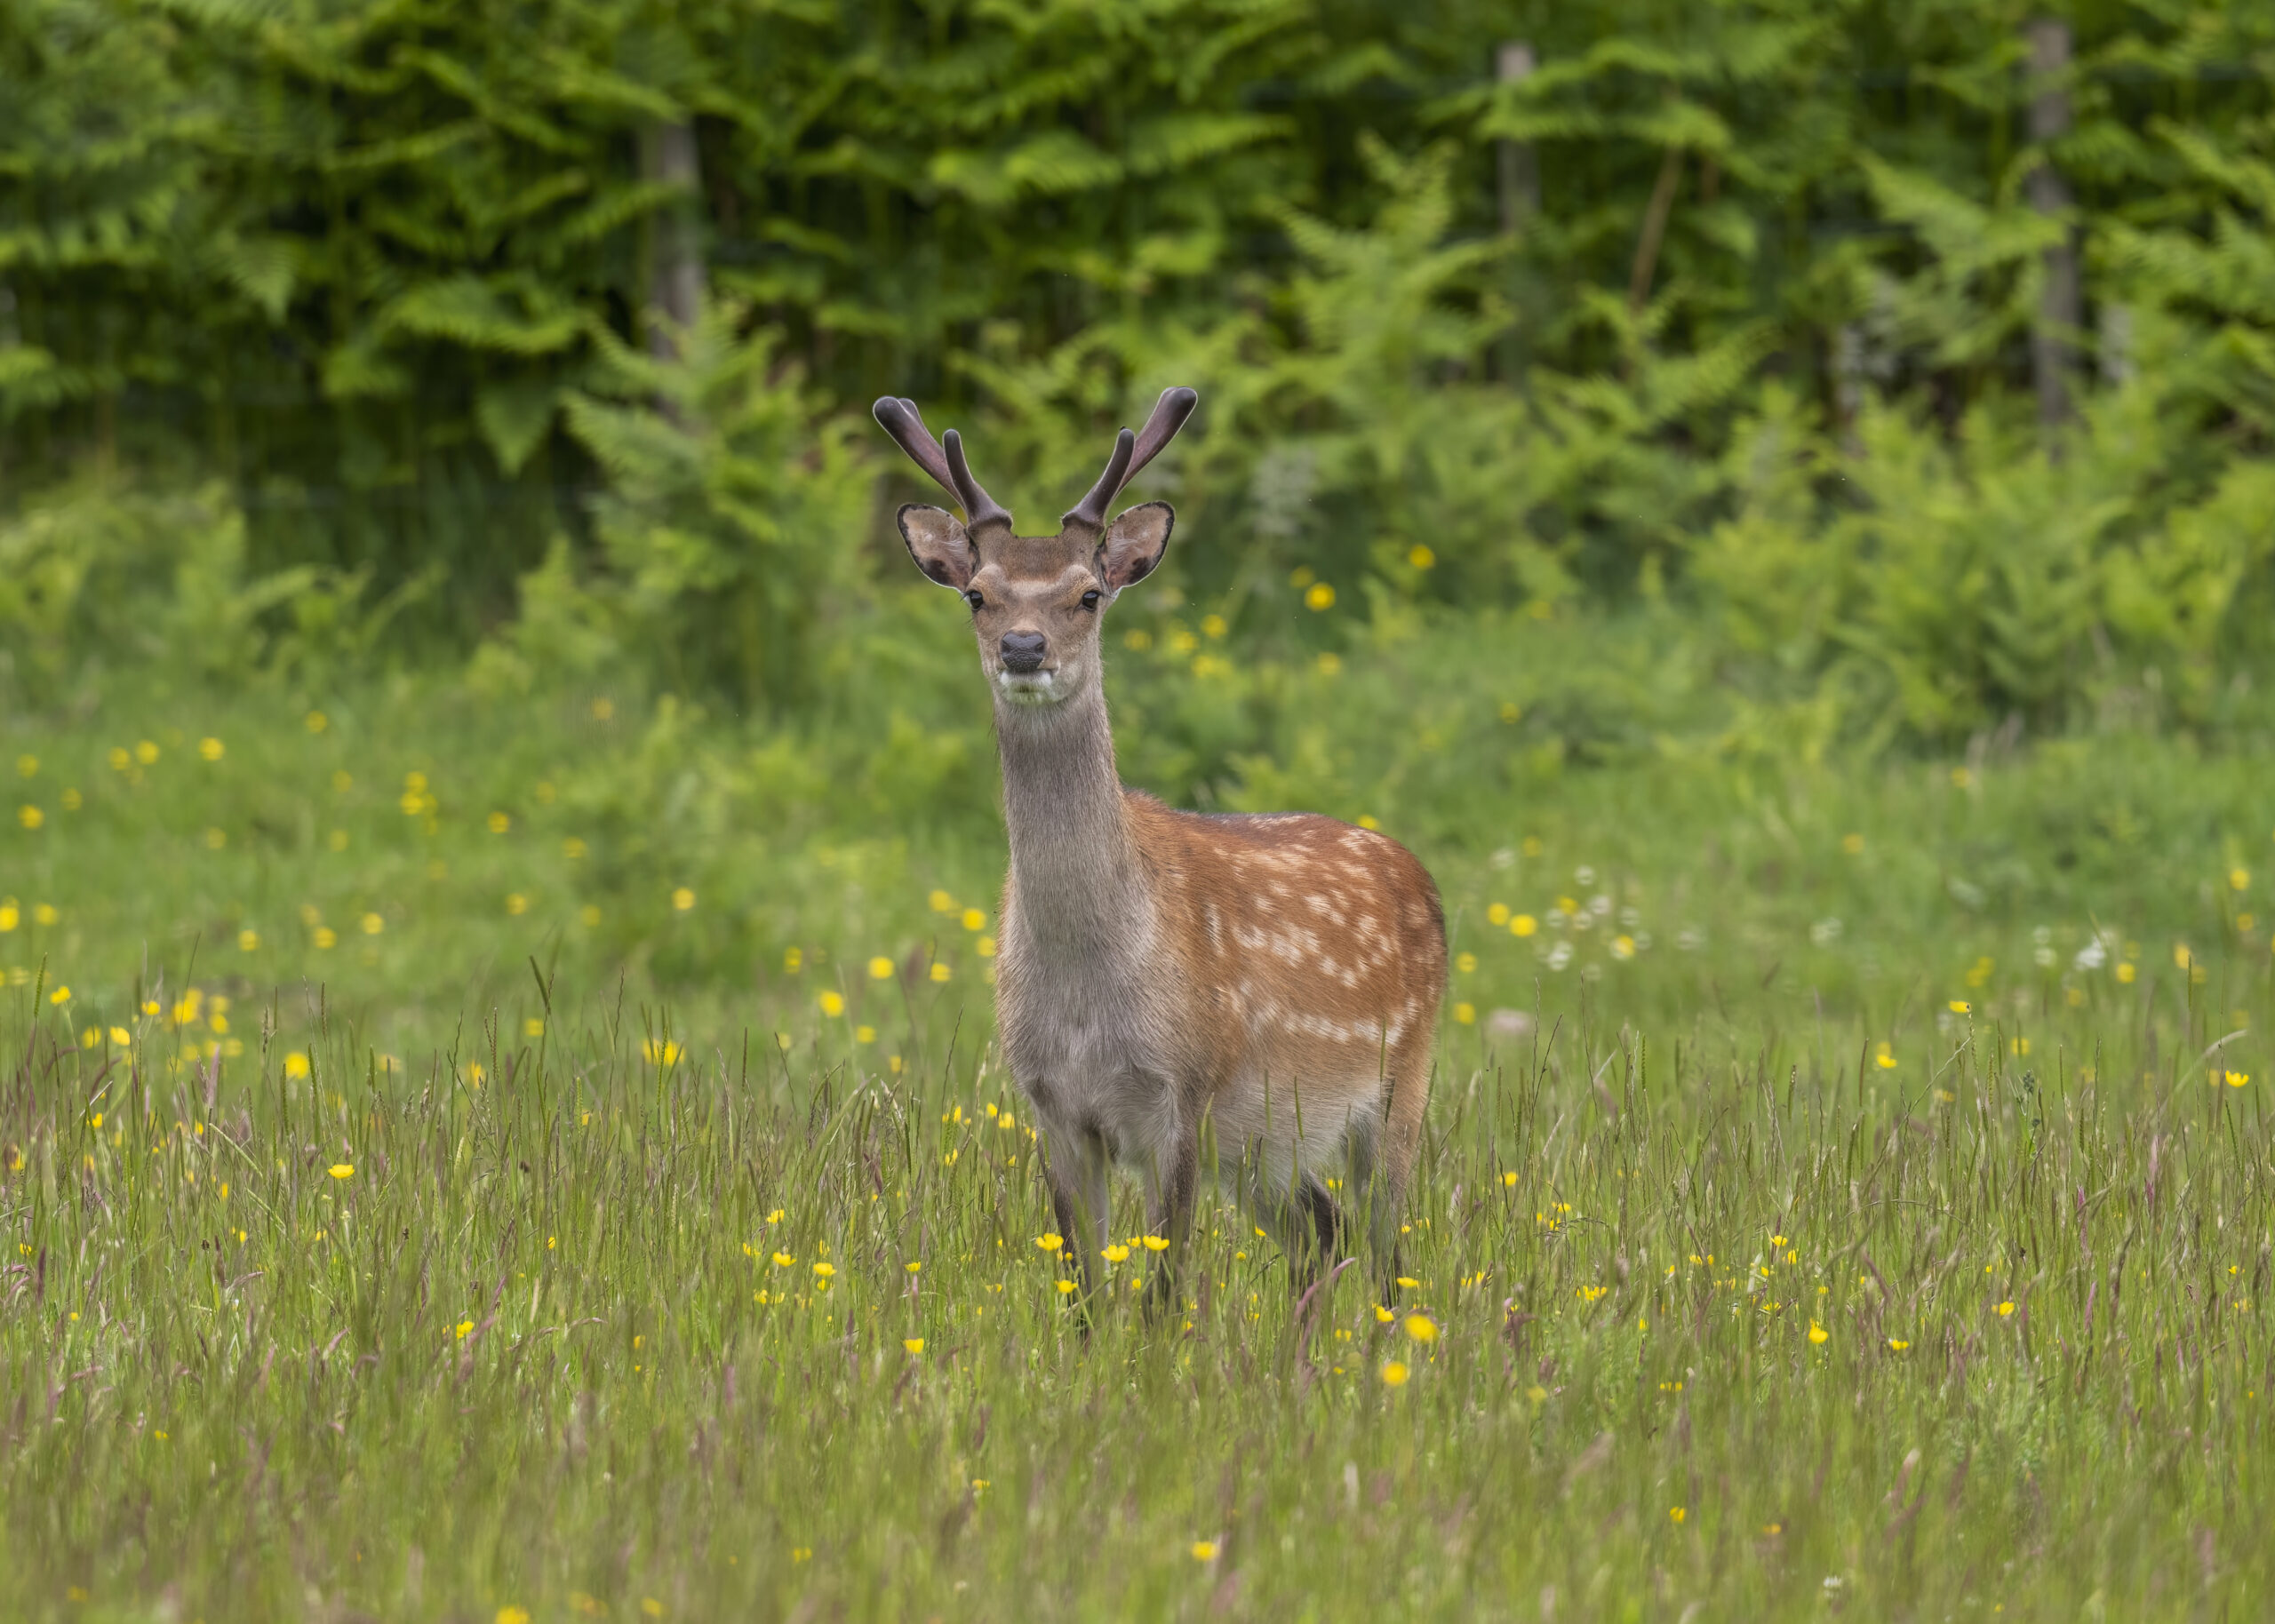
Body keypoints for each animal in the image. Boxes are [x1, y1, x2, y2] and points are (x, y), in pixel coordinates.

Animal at [868, 382, 1437, 1301]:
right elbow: (1083, 1288)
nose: (1023, 647)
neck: (1091, 992)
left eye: (1088, 594)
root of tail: (1416, 871)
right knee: (1322, 1228)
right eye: (978, 594)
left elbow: (1165, 1293)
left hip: (1400, 1084)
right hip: (1263, 1147)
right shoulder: (1052, 1108)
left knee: (1389, 1249)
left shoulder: (1182, 1094)